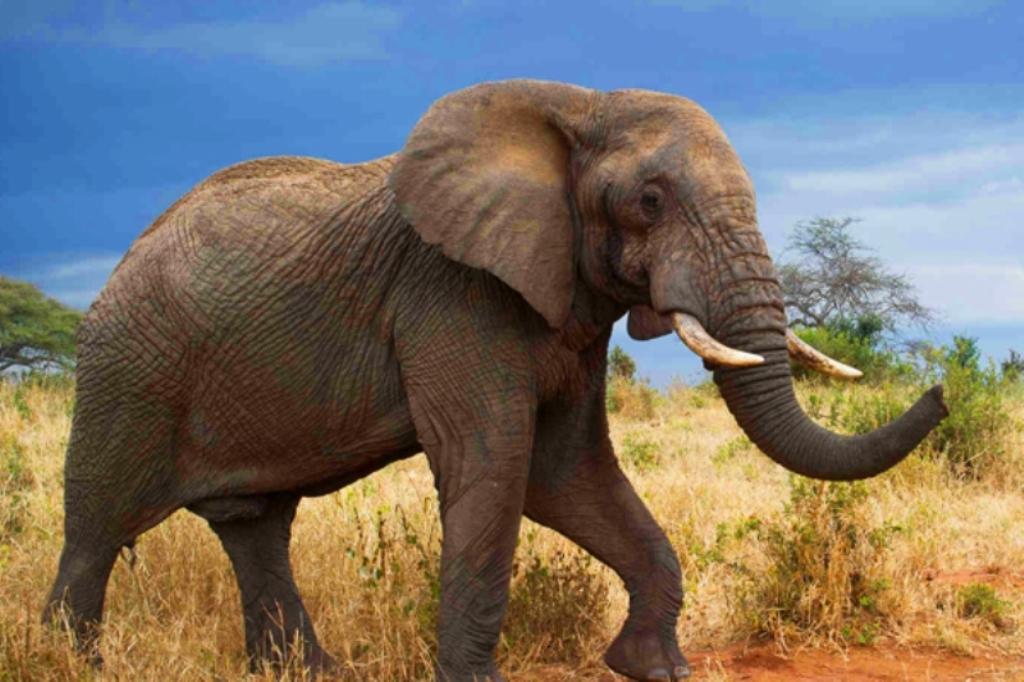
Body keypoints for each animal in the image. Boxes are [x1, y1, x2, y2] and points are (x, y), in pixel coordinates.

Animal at [44, 79, 947, 681]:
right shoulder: (451, 292)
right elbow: (496, 464)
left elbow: (564, 473)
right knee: (96, 526)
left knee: (255, 524)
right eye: (650, 202)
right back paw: (66, 660)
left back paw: (309, 672)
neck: (577, 107)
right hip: (129, 367)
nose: (940, 391)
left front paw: (652, 668)